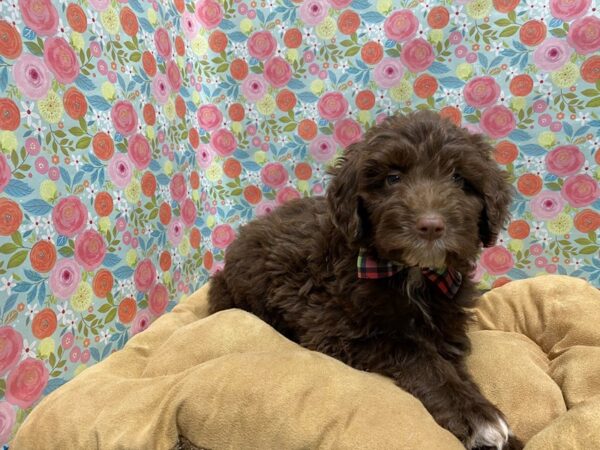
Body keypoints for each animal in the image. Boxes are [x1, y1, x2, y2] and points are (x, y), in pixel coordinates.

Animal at [210, 110, 520, 450]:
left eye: (459, 179)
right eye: (392, 178)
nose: (430, 226)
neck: (411, 273)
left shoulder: (446, 328)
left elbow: (452, 364)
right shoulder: (339, 330)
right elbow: (415, 352)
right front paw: (477, 418)